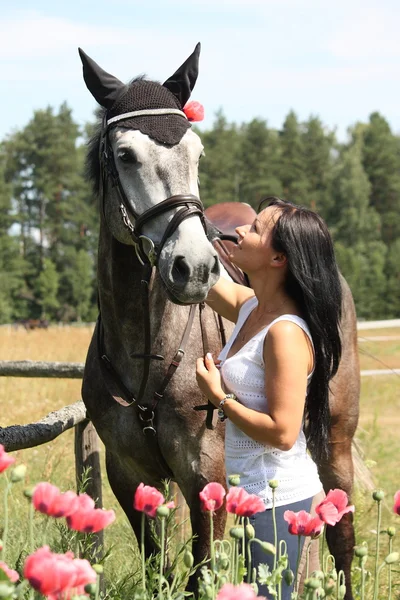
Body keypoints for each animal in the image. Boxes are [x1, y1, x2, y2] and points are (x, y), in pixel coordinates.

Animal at [79, 44, 360, 596]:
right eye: (125, 155)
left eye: (197, 153)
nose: (194, 268)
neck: (148, 346)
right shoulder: (129, 476)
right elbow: (158, 567)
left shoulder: (204, 476)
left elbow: (201, 572)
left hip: (335, 439)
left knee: (340, 533)